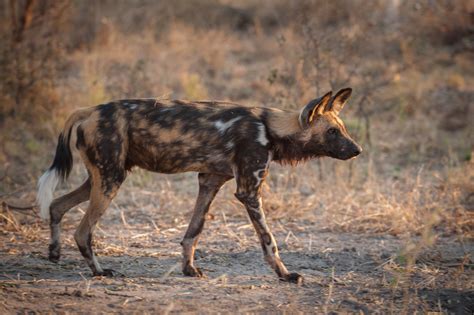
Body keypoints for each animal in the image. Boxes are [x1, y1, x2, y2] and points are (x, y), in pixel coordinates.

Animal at [37, 88, 362, 284]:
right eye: (332, 132)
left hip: (102, 178)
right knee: (82, 232)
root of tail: (89, 109)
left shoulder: (209, 182)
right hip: (110, 181)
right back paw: (100, 271)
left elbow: (193, 232)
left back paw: (54, 253)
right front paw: (285, 274)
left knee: (56, 205)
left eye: (343, 129)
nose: (358, 150)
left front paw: (188, 269)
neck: (271, 128)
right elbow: (269, 241)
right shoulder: (248, 192)